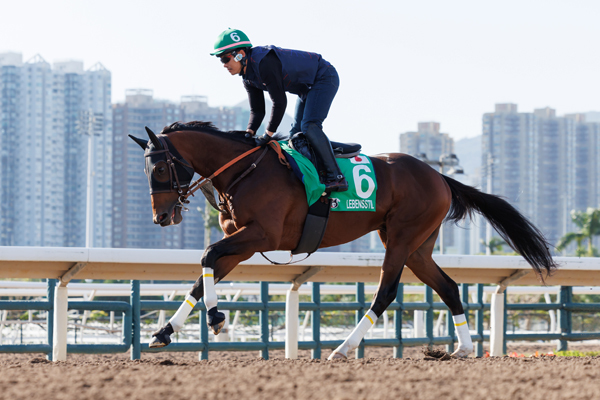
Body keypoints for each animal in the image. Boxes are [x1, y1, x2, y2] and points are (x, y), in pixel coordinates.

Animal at [130, 120, 556, 358]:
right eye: (146, 170)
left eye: (161, 168)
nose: (161, 217)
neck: (245, 169)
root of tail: (439, 175)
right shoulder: (240, 241)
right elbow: (201, 278)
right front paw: (163, 333)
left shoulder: (259, 236)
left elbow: (206, 255)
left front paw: (216, 318)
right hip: (418, 246)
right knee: (448, 287)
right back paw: (464, 349)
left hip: (401, 238)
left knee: (386, 292)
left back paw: (343, 348)